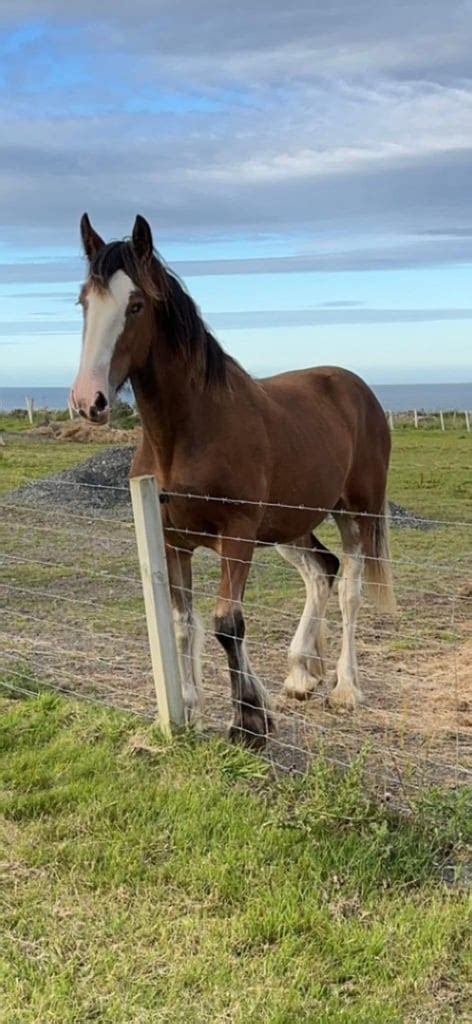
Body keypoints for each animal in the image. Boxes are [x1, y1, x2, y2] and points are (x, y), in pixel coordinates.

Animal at [71, 211, 395, 749]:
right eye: (84, 302)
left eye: (135, 305)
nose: (88, 400)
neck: (189, 433)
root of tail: (355, 387)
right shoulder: (174, 542)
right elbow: (184, 623)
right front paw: (192, 708)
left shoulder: (237, 537)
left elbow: (229, 623)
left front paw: (247, 721)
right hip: (291, 526)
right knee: (320, 572)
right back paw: (301, 674)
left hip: (357, 512)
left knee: (349, 586)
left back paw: (346, 687)